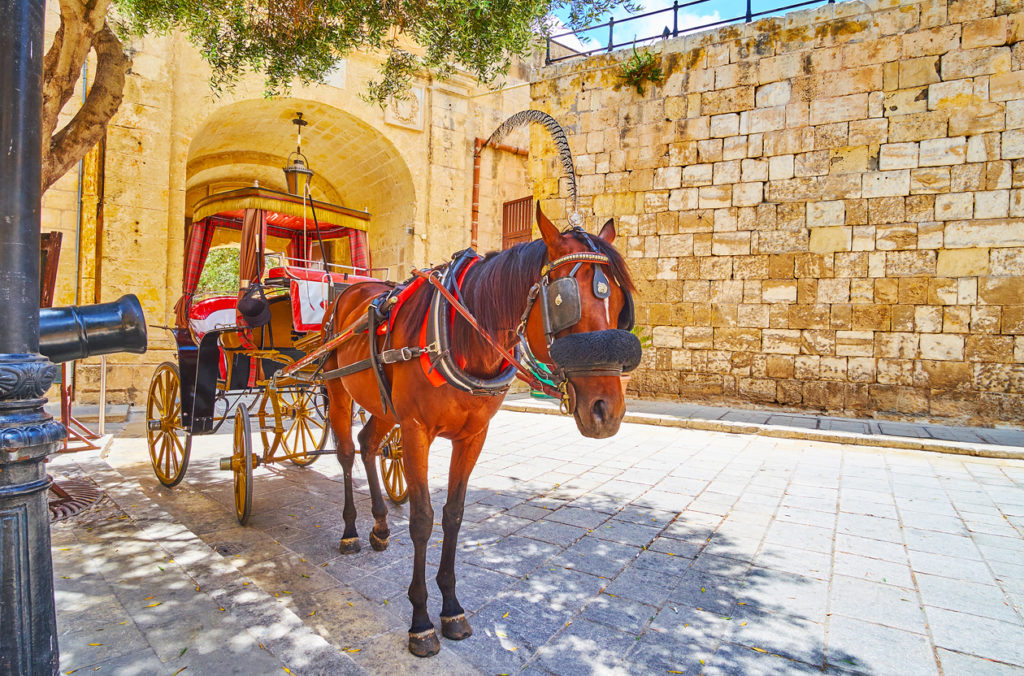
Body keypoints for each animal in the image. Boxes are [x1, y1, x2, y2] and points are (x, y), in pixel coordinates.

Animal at [323, 205, 634, 655]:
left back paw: (380, 526)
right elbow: (422, 519)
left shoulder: (473, 437)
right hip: (337, 389)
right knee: (347, 452)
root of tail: (352, 289)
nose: (606, 411)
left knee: (367, 445)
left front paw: (451, 608)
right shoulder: (415, 430)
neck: (462, 335)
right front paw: (421, 621)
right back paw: (350, 531)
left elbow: (453, 515)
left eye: (622, 303)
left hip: (382, 404)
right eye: (564, 301)